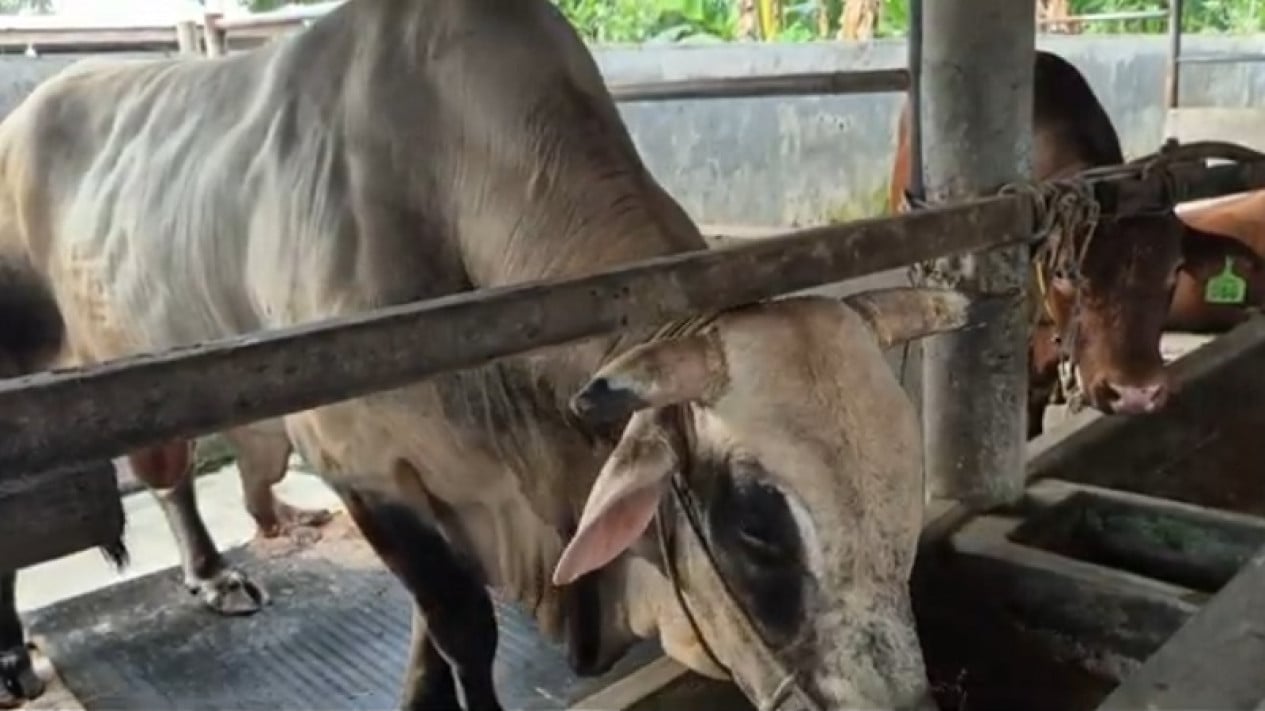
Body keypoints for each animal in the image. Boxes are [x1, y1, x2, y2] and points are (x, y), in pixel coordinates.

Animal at [0, 0, 960, 709]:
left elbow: (431, 628)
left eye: (907, 493)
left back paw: (212, 570)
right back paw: (22, 653)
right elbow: (463, 626)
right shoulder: (363, 467)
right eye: (757, 526)